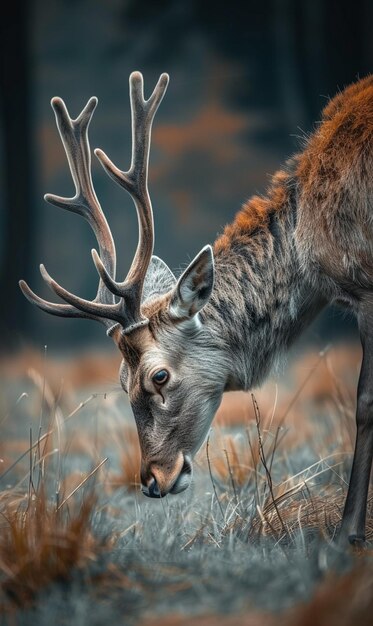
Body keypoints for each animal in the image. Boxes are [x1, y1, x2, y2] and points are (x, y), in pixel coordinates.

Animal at [19, 72, 372, 540]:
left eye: (160, 376)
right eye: (120, 380)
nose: (152, 480)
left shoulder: (366, 285)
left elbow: (365, 403)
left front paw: (349, 531)